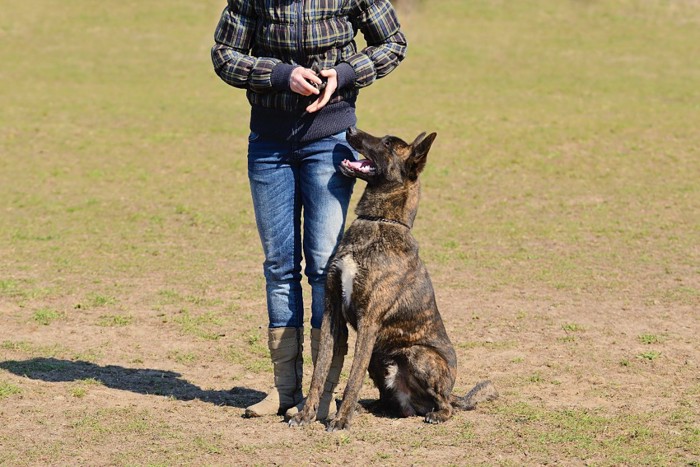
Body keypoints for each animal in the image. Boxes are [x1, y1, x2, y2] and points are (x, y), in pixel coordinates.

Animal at [290, 128, 498, 432]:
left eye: (388, 144)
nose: (350, 130)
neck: (378, 220)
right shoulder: (331, 315)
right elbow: (319, 370)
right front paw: (305, 415)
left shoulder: (369, 322)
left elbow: (352, 378)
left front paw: (340, 421)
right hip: (378, 358)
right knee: (390, 403)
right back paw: (364, 407)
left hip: (417, 355)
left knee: (446, 406)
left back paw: (435, 413)